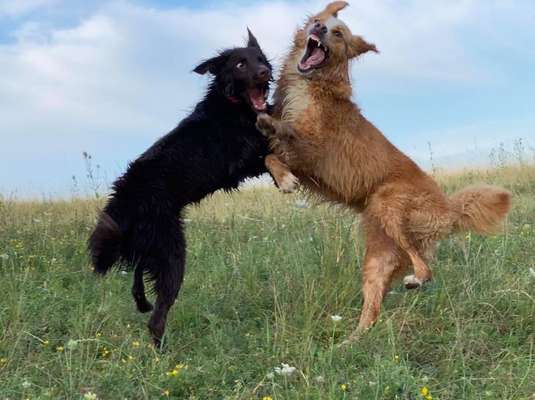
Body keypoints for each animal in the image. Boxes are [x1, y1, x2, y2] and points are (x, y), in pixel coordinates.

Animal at [89, 28, 296, 346]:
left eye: (261, 59)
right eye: (240, 64)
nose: (265, 72)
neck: (233, 106)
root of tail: (124, 198)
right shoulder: (239, 160)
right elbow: (270, 152)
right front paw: (285, 177)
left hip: (150, 244)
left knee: (138, 278)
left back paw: (142, 303)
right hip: (172, 251)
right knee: (156, 318)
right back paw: (161, 350)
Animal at [258, 1, 512, 342]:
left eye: (338, 34)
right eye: (319, 20)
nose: (319, 28)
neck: (313, 85)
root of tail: (448, 207)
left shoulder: (315, 145)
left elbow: (283, 138)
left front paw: (272, 133)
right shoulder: (303, 162)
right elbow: (271, 157)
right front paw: (282, 173)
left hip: (388, 203)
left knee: (426, 268)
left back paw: (414, 281)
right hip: (377, 259)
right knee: (373, 311)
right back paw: (349, 343)